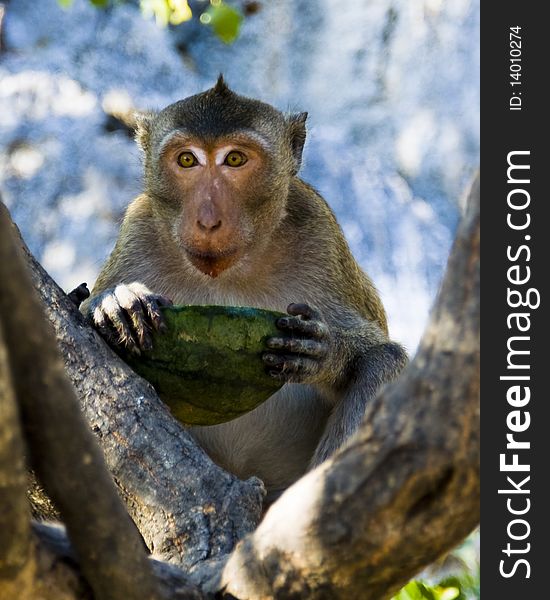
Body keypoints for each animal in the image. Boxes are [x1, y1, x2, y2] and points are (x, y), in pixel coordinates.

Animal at [82, 76, 410, 506]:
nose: (207, 220)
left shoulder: (320, 231)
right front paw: (115, 303)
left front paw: (323, 351)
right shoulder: (138, 228)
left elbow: (373, 350)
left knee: (384, 363)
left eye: (235, 159)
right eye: (186, 160)